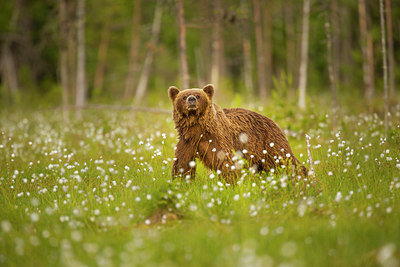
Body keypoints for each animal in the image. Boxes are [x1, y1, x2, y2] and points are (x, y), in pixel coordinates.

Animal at [167, 85, 308, 183]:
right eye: (184, 96)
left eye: (198, 95)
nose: (191, 99)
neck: (198, 130)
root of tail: (273, 121)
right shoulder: (187, 141)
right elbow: (182, 163)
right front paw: (181, 182)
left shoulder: (217, 139)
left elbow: (225, 162)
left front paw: (230, 183)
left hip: (269, 142)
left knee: (285, 159)